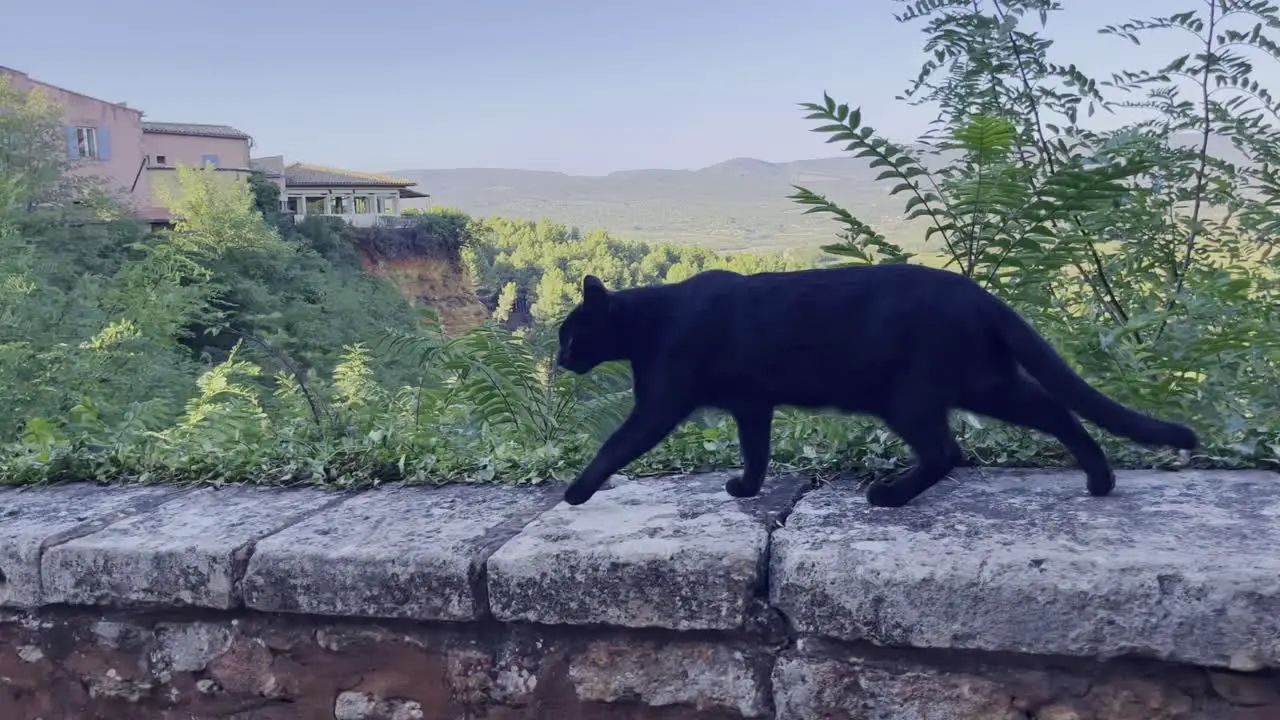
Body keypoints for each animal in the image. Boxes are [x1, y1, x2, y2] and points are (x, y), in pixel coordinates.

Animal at [552, 263, 1198, 504]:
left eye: (570, 336)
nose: (557, 360)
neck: (650, 323)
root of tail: (980, 294)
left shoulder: (660, 403)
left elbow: (615, 445)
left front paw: (575, 493)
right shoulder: (752, 405)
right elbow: (756, 450)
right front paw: (747, 487)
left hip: (912, 396)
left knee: (948, 451)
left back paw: (890, 495)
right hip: (981, 381)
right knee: (1054, 412)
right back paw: (1099, 480)